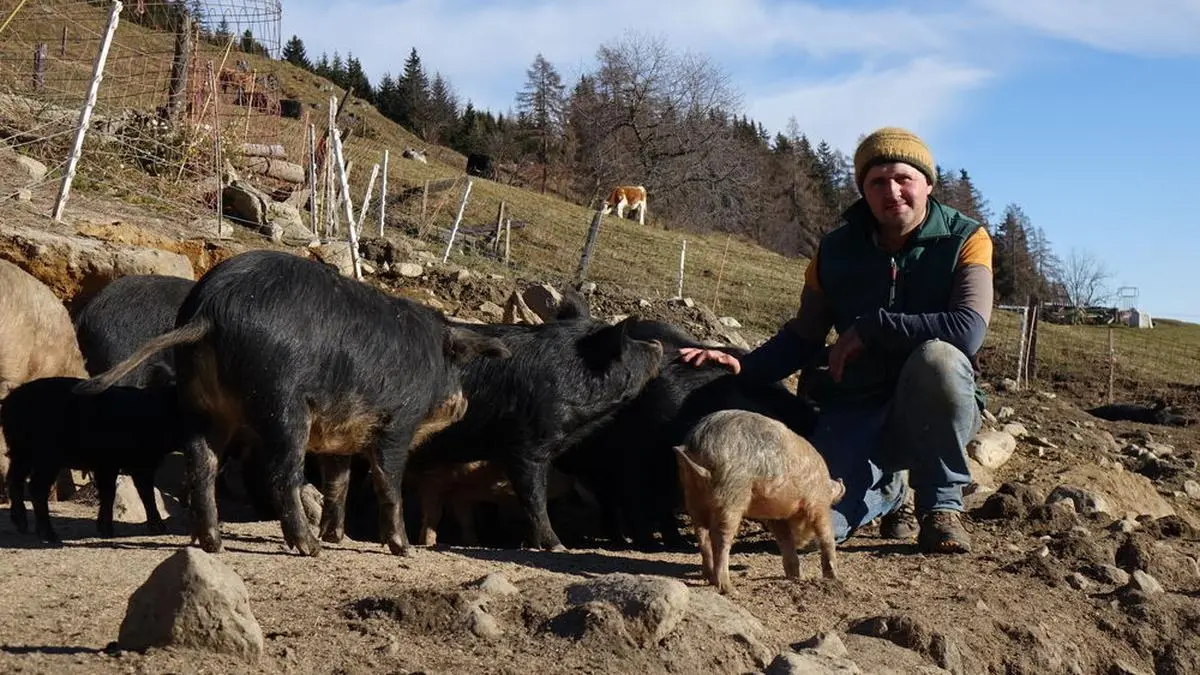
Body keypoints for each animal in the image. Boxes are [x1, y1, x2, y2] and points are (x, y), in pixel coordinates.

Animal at [2, 377, 182, 542]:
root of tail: (10, 403)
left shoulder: (107, 465)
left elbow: (109, 492)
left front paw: (104, 529)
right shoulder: (138, 463)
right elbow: (144, 493)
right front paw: (158, 528)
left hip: (21, 453)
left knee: (14, 479)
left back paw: (21, 525)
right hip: (46, 457)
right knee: (36, 488)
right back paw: (50, 535)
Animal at [73, 249, 510, 557]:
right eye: (456, 365)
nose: (463, 404)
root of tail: (210, 310)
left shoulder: (339, 436)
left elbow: (338, 483)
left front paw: (337, 537)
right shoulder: (396, 424)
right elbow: (389, 484)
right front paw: (401, 549)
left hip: (201, 404)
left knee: (202, 464)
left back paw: (210, 542)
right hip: (282, 404)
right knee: (282, 475)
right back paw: (307, 548)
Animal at [674, 409, 843, 594]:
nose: (806, 544)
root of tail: (699, 445)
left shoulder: (776, 514)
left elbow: (785, 540)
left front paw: (798, 578)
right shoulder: (818, 503)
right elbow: (826, 535)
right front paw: (834, 579)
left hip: (691, 493)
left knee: (701, 533)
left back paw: (708, 577)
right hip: (732, 492)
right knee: (719, 536)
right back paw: (729, 588)